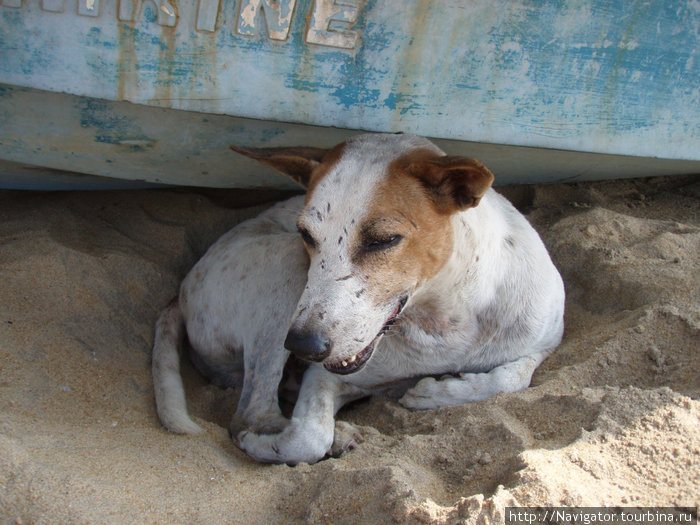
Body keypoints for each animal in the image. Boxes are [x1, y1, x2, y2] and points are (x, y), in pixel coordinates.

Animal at [150, 133, 568, 464]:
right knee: (248, 416)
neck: (443, 319)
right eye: (306, 234)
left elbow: (514, 377)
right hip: (285, 269)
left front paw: (436, 392)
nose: (302, 346)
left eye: (383, 240)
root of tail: (180, 292)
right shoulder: (324, 376)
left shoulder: (545, 339)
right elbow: (305, 436)